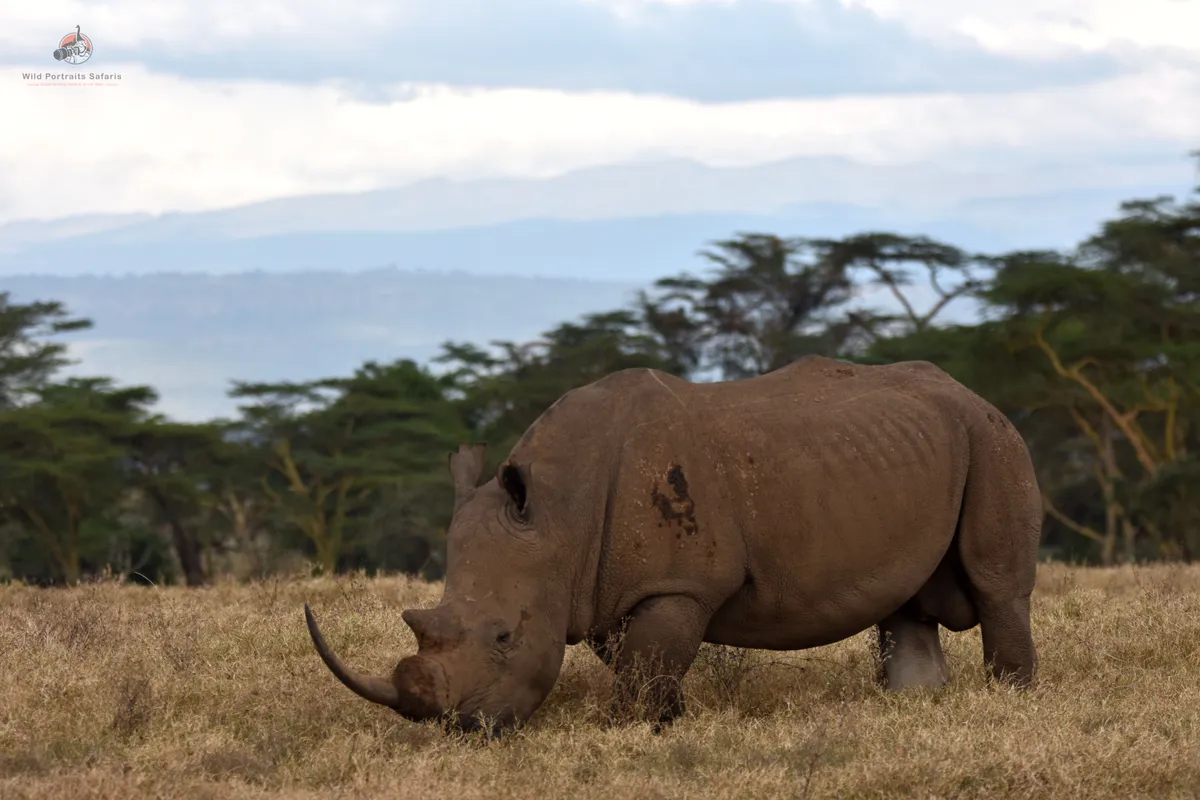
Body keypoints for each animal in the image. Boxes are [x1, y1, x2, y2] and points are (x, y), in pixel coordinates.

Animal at [304, 356, 1041, 733]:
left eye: (505, 638)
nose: (460, 727)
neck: (559, 514)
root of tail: (966, 388)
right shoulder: (608, 586)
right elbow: (641, 658)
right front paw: (669, 719)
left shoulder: (677, 582)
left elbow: (647, 659)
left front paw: (628, 730)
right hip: (916, 449)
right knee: (907, 602)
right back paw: (917, 705)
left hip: (992, 437)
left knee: (997, 585)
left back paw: (1010, 701)